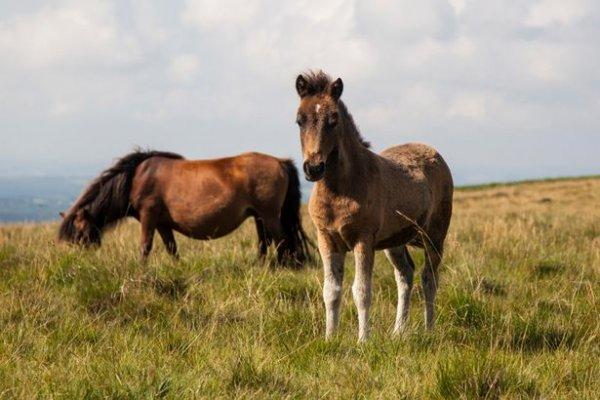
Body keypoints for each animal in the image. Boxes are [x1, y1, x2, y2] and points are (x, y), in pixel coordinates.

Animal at [57, 148, 310, 264]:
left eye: (79, 231)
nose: (80, 261)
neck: (135, 177)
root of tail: (280, 162)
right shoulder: (162, 223)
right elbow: (171, 248)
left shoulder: (149, 216)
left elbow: (145, 246)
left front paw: (140, 269)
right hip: (258, 216)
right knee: (264, 242)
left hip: (270, 215)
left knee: (282, 240)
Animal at [292, 71, 452, 340]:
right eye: (299, 120)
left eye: (333, 120)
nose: (313, 169)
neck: (341, 189)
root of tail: (435, 153)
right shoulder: (326, 239)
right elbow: (331, 291)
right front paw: (329, 338)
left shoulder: (363, 240)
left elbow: (362, 291)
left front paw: (363, 340)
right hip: (394, 242)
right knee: (405, 274)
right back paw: (398, 332)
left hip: (434, 236)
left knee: (429, 279)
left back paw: (429, 329)